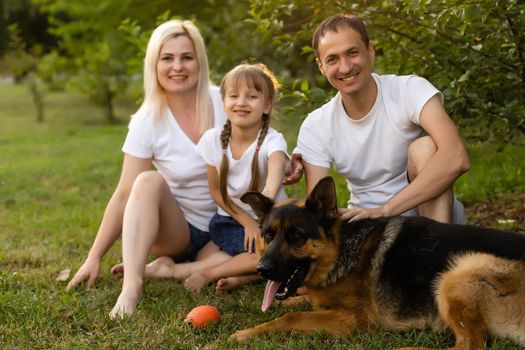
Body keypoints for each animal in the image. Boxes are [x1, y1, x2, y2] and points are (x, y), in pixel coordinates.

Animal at [231, 178, 524, 350]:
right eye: (269, 235)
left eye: (296, 236)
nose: (262, 270)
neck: (339, 250)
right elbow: (299, 303)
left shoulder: (351, 321)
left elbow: (291, 317)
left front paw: (244, 333)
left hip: (459, 272)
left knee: (470, 345)